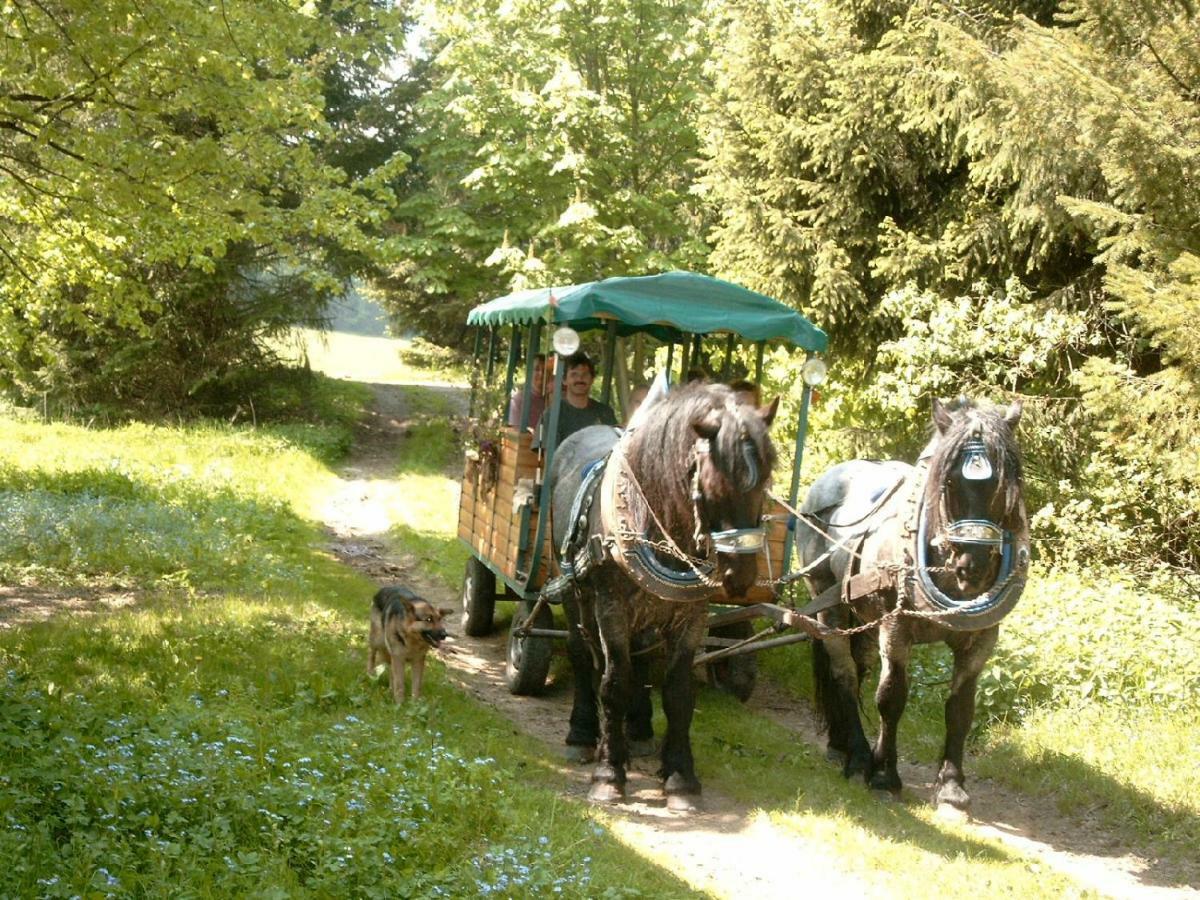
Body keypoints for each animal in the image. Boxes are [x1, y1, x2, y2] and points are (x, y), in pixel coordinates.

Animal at [549, 384, 777, 816]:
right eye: (714, 484)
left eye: (766, 479)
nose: (740, 576)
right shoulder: (611, 607)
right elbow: (613, 682)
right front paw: (609, 775)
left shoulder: (691, 616)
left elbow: (678, 692)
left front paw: (680, 778)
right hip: (575, 592)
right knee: (583, 654)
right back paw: (583, 733)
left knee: (637, 659)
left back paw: (637, 729)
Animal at [796, 398, 1032, 816]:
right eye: (949, 482)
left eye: (1007, 484)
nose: (975, 566)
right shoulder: (896, 627)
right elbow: (891, 698)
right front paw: (884, 777)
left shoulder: (982, 637)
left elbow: (960, 707)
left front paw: (951, 788)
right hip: (828, 603)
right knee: (845, 674)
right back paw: (857, 755)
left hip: (862, 616)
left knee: (859, 667)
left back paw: (841, 744)